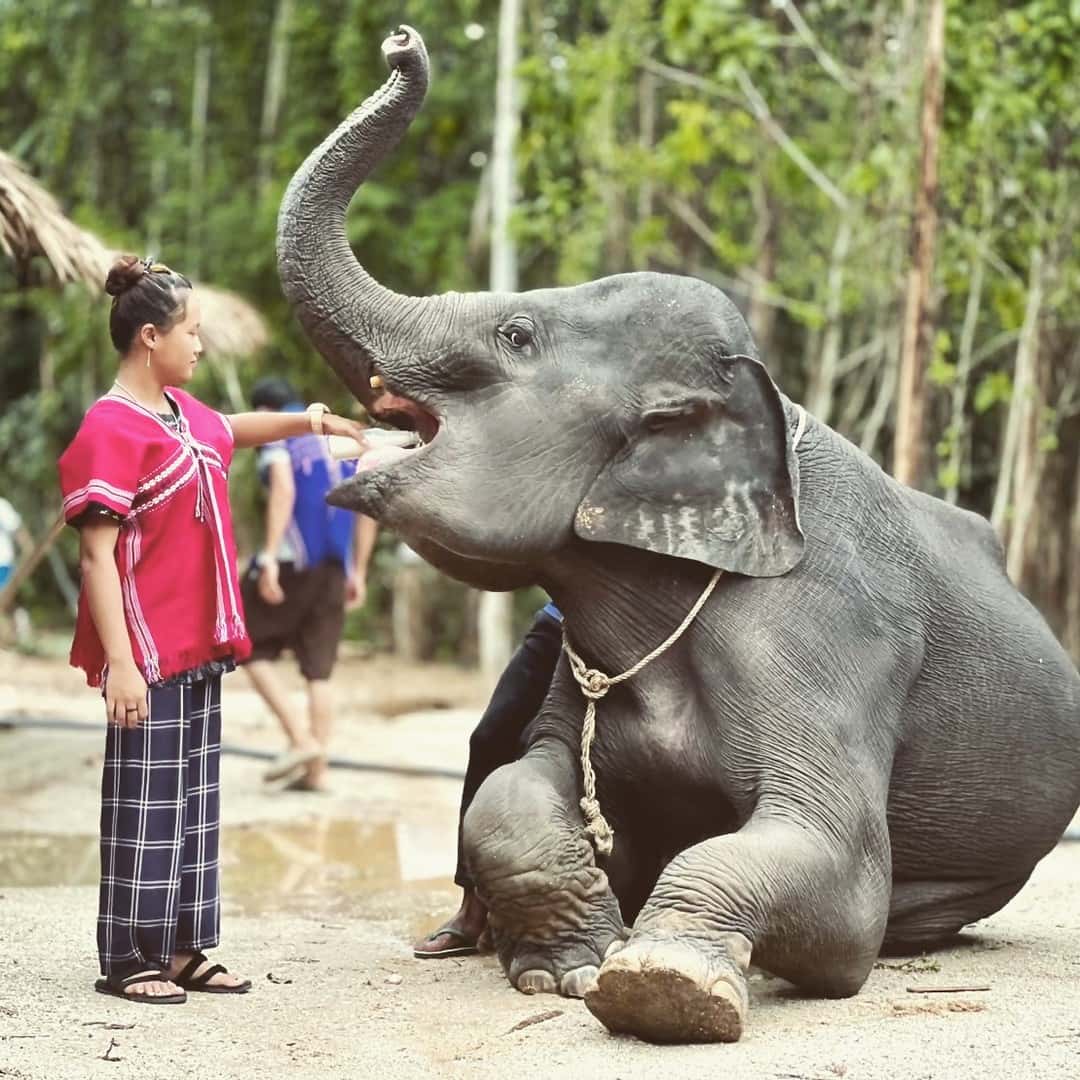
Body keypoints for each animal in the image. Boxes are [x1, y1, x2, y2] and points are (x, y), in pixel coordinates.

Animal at [276, 26, 1080, 1044]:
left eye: (516, 333)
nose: (401, 40)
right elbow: (514, 787)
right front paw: (567, 971)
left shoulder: (830, 639)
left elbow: (841, 871)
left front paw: (660, 986)